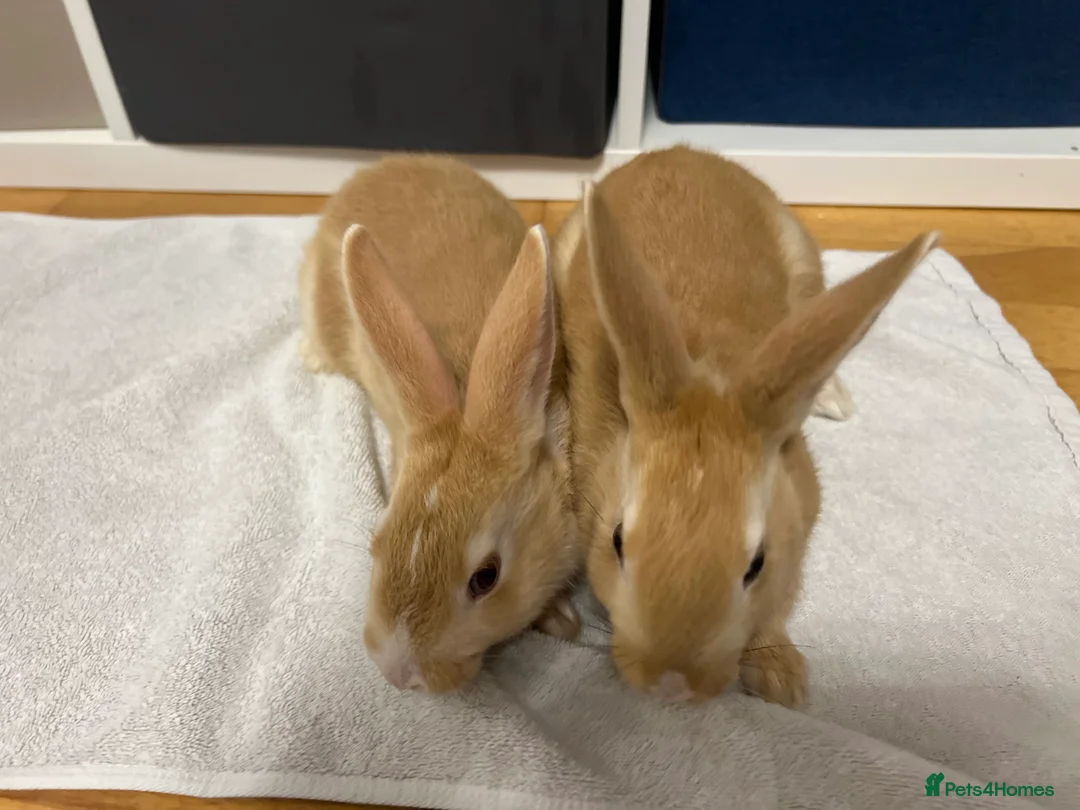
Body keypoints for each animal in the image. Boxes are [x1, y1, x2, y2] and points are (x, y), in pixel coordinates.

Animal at [551, 145, 938, 706]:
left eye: (757, 563)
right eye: (618, 541)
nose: (672, 684)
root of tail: (681, 151)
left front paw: (783, 682)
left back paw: (835, 399)